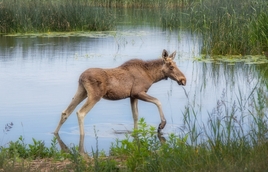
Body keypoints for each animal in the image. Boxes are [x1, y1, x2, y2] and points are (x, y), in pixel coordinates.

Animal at [54, 49, 186, 140]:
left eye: (176, 64)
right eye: (171, 66)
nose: (183, 79)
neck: (152, 76)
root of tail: (81, 77)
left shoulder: (133, 96)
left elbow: (135, 116)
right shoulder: (138, 92)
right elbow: (158, 101)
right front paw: (161, 125)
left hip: (82, 91)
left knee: (66, 112)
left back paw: (55, 133)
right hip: (94, 96)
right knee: (80, 113)